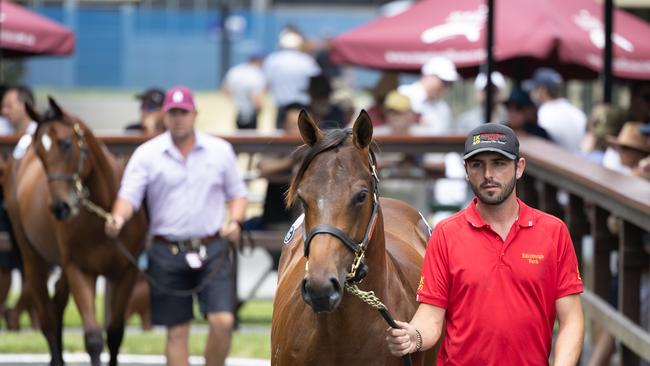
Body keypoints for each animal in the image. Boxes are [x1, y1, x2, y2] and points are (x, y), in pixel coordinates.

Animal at [3, 98, 147, 366]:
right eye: (40, 152)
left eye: (66, 143)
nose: (60, 207)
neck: (103, 212)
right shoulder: (79, 271)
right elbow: (93, 338)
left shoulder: (125, 272)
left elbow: (115, 333)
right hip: (32, 258)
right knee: (47, 317)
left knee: (57, 304)